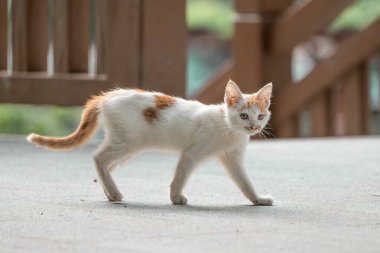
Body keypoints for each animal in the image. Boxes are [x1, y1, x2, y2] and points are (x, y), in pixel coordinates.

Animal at [28, 80, 274, 206]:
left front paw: (257, 199)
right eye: (243, 115)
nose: (254, 127)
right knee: (98, 157)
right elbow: (180, 177)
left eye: (260, 116)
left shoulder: (233, 158)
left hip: (125, 144)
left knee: (104, 163)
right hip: (130, 142)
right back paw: (114, 193)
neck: (227, 127)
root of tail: (108, 96)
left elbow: (244, 182)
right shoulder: (191, 153)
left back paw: (110, 192)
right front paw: (175, 197)